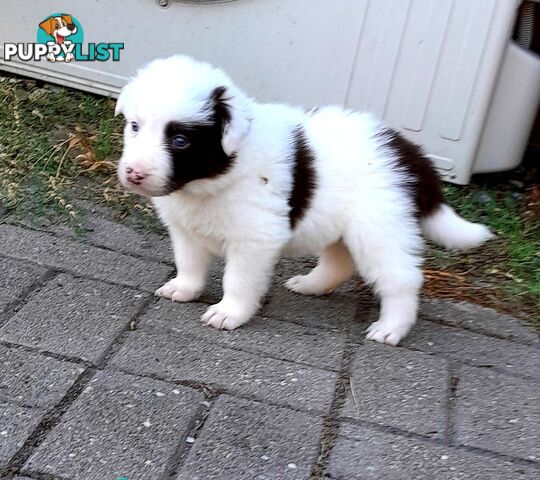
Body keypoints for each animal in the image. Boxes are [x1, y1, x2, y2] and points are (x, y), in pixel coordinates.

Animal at [115, 56, 494, 344]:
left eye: (180, 141)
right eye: (134, 126)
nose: (133, 173)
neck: (210, 181)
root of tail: (411, 154)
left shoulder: (256, 238)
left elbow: (237, 279)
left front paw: (229, 312)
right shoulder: (185, 230)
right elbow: (190, 264)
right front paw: (185, 289)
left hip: (379, 228)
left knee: (401, 278)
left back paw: (391, 328)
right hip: (342, 225)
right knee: (340, 262)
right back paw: (311, 285)